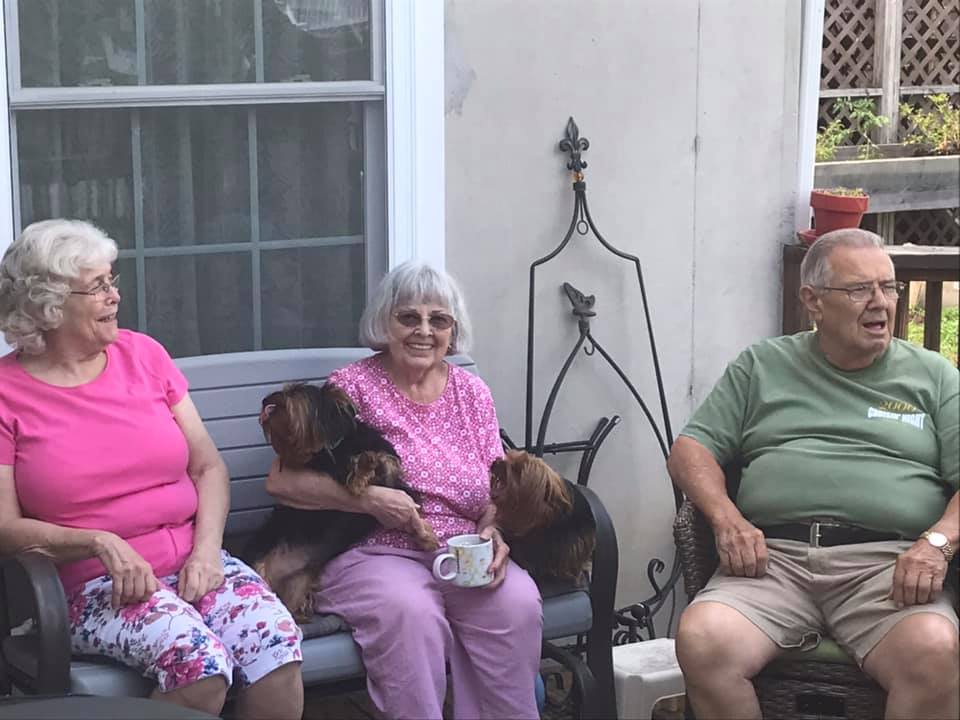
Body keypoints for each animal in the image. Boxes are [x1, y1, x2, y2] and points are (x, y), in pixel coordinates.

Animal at [248, 382, 442, 624]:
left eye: (294, 391)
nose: (265, 400)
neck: (337, 444)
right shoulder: (333, 470)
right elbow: (354, 471)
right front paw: (362, 470)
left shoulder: (399, 489)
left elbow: (398, 484)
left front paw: (426, 537)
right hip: (261, 556)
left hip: (298, 581)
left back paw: (301, 611)